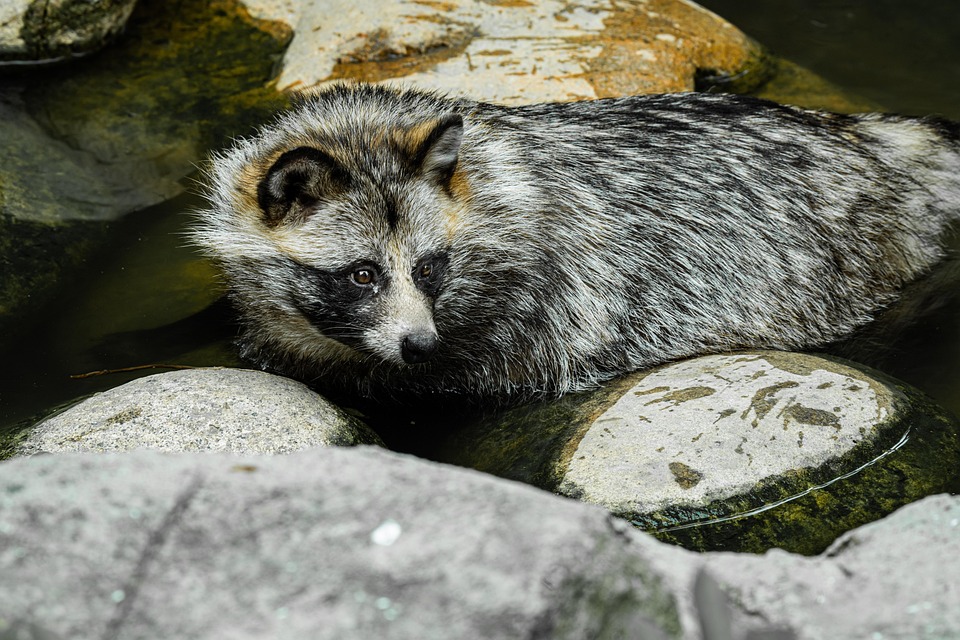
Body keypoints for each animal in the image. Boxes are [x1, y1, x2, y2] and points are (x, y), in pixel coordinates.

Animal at [193, 82, 960, 401]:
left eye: (432, 268)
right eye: (361, 274)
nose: (420, 345)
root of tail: (865, 138)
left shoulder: (526, 320)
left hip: (849, 259)